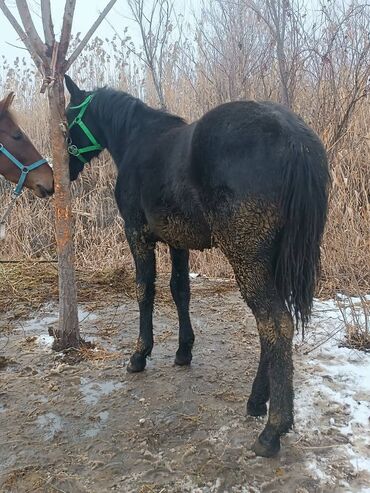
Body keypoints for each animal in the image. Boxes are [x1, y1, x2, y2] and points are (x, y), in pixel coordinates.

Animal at [63, 75, 330, 456]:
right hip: (271, 260)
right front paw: (183, 350)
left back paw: (273, 428)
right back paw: (256, 401)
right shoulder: (178, 241)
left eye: (68, 118)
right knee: (274, 325)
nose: (64, 169)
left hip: (247, 258)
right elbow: (180, 291)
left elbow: (145, 291)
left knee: (275, 324)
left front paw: (140, 354)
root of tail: (295, 139)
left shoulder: (137, 233)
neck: (136, 140)